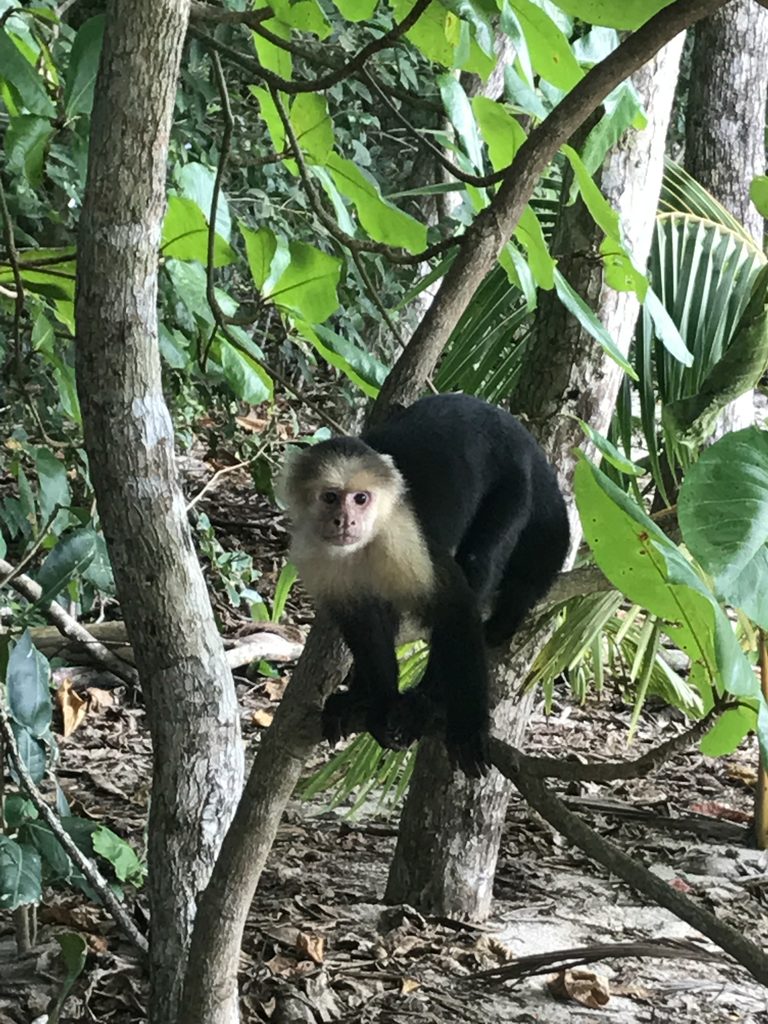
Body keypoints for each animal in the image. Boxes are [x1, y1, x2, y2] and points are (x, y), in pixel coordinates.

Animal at [280, 393, 570, 776]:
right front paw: (378, 702)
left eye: (361, 498)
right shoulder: (314, 554)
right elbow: (362, 622)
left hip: (514, 484)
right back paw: (361, 696)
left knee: (477, 566)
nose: (345, 520)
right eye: (330, 497)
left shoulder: (405, 536)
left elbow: (455, 605)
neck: (366, 542)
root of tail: (520, 432)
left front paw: (466, 723)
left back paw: (428, 699)